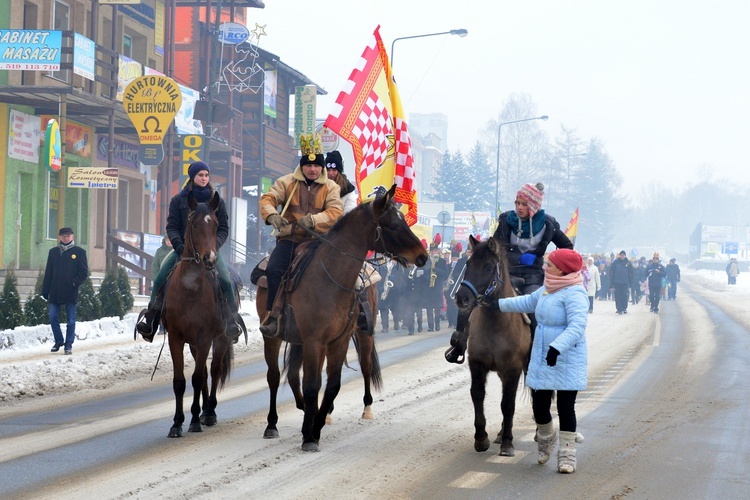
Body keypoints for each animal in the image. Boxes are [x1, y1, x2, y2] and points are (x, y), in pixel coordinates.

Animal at [163, 191, 234, 438]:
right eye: (193, 224)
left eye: (215, 224)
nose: (209, 259)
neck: (190, 289)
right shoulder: (176, 339)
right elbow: (180, 381)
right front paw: (176, 423)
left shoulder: (204, 338)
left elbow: (197, 378)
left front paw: (193, 420)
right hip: (194, 344)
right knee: (203, 370)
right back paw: (204, 412)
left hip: (220, 339)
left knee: (213, 369)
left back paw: (209, 412)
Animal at [260, 186, 428, 452]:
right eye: (393, 225)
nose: (423, 256)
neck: (330, 278)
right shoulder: (314, 342)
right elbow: (312, 385)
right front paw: (309, 436)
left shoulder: (337, 341)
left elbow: (332, 385)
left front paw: (315, 427)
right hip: (274, 337)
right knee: (275, 377)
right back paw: (272, 424)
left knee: (303, 374)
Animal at [456, 234, 532, 458]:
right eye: (468, 264)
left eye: (488, 267)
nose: (461, 298)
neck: (496, 323)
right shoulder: (477, 364)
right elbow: (477, 394)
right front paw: (481, 438)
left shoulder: (513, 369)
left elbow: (508, 404)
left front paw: (508, 442)